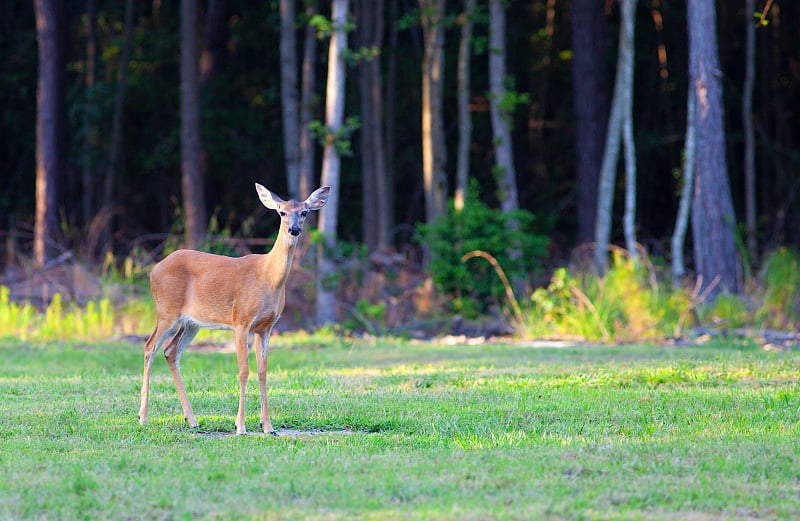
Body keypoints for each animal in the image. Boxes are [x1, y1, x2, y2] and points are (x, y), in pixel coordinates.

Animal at [138, 183, 328, 434]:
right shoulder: (241, 320)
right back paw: (143, 417)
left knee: (171, 351)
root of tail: (154, 269)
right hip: (166, 311)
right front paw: (241, 426)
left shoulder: (266, 327)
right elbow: (243, 371)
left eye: (304, 212)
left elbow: (263, 371)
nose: (294, 229)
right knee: (149, 347)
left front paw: (268, 426)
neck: (268, 277)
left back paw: (192, 419)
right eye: (281, 212)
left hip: (191, 323)